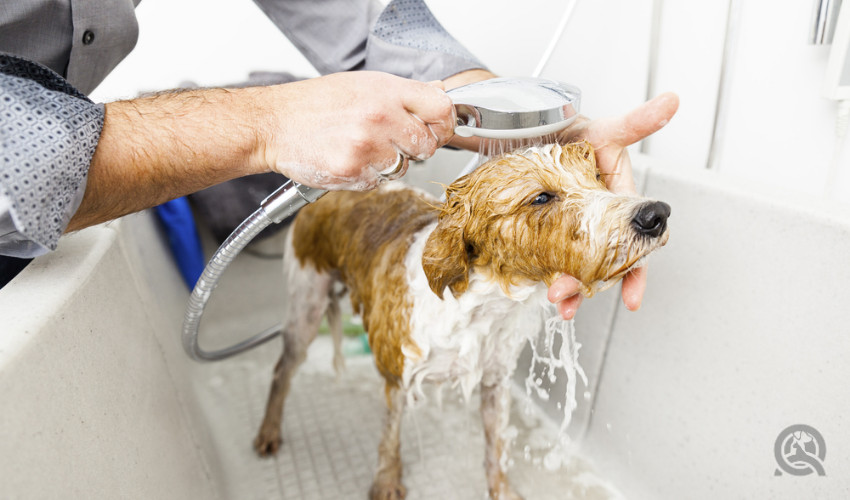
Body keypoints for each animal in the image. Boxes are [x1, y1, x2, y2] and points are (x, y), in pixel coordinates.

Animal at [252, 143, 668, 498]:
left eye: (597, 176)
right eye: (541, 197)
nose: (656, 214)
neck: (482, 307)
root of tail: (327, 193)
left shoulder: (495, 380)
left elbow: (496, 446)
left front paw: (502, 490)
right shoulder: (397, 375)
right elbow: (390, 439)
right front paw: (386, 483)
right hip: (306, 304)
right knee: (282, 368)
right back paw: (269, 431)